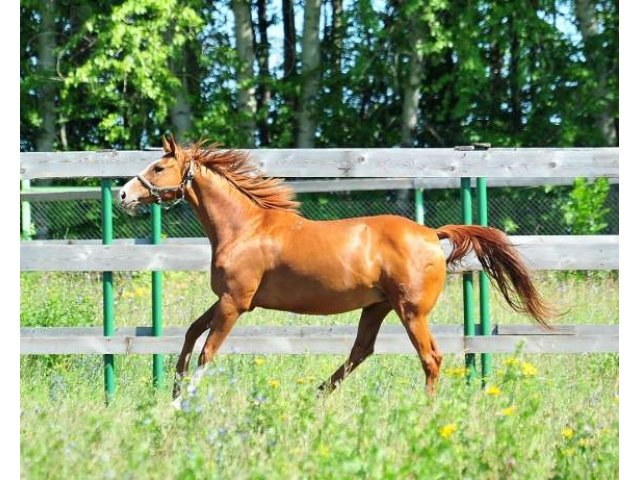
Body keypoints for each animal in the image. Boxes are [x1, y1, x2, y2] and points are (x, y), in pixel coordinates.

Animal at [120, 138, 556, 398]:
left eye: (158, 168)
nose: (124, 194)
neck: (245, 226)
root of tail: (432, 233)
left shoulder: (235, 302)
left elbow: (208, 350)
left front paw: (183, 402)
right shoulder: (230, 299)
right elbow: (191, 333)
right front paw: (174, 389)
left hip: (411, 311)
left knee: (431, 358)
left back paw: (426, 410)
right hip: (377, 306)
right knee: (362, 350)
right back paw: (316, 394)